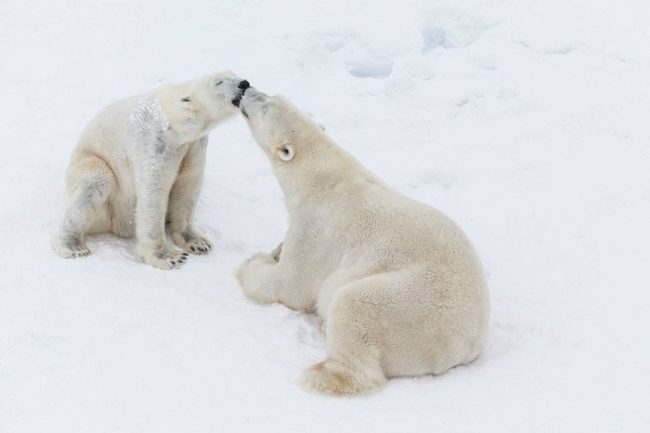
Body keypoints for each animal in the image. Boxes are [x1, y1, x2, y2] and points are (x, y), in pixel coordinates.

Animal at [50, 71, 247, 268]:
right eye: (219, 81)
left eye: (234, 74)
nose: (244, 83)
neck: (174, 120)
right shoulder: (155, 141)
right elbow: (153, 192)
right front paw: (170, 257)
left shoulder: (195, 146)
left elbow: (188, 187)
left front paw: (197, 242)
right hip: (90, 168)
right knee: (96, 181)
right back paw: (73, 247)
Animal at [235, 88, 488, 394]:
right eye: (272, 95)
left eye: (265, 107)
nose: (246, 87)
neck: (319, 174)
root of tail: (466, 346)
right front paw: (275, 250)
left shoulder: (316, 229)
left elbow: (289, 284)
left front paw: (250, 263)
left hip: (410, 305)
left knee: (354, 306)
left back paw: (322, 368)